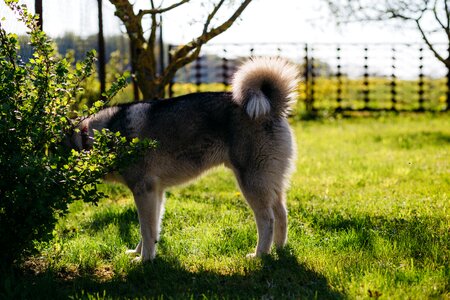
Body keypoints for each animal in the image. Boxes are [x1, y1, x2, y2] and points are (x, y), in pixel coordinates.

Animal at [70, 57, 298, 262]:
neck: (96, 135)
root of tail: (273, 107)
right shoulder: (155, 193)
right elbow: (152, 229)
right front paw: (139, 252)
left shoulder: (143, 191)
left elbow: (146, 229)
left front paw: (144, 260)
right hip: (270, 184)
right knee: (282, 214)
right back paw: (279, 249)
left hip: (251, 183)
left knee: (267, 220)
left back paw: (260, 254)